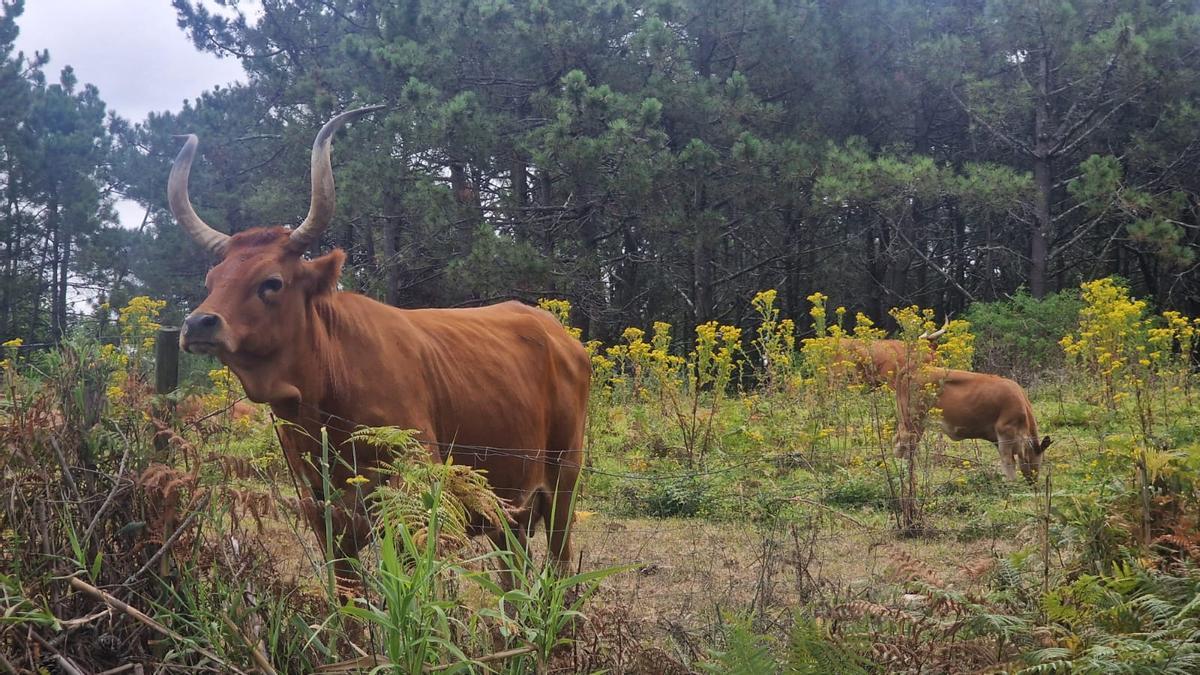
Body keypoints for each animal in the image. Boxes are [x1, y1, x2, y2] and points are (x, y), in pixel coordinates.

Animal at [165, 107, 590, 576]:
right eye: (212, 280)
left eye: (271, 282)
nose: (199, 324)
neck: (324, 395)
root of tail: (557, 333)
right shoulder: (325, 519)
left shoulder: (415, 499)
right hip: (507, 508)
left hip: (563, 485)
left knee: (559, 570)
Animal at [892, 365, 1051, 480]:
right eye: (1038, 460)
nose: (1033, 480)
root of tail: (912, 368)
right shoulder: (1005, 432)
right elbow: (1008, 462)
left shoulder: (997, 438)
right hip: (914, 422)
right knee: (906, 444)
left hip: (906, 421)